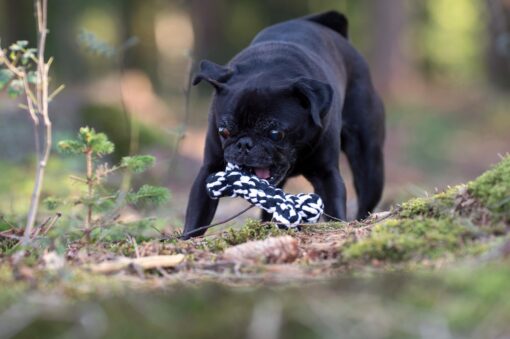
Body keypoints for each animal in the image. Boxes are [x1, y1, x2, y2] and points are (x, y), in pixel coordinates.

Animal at [182, 11, 382, 239]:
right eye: (224, 131)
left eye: (275, 134)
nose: (244, 144)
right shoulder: (210, 168)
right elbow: (197, 215)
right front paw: (186, 240)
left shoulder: (327, 174)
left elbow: (334, 208)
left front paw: (338, 229)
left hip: (370, 166)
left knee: (366, 197)